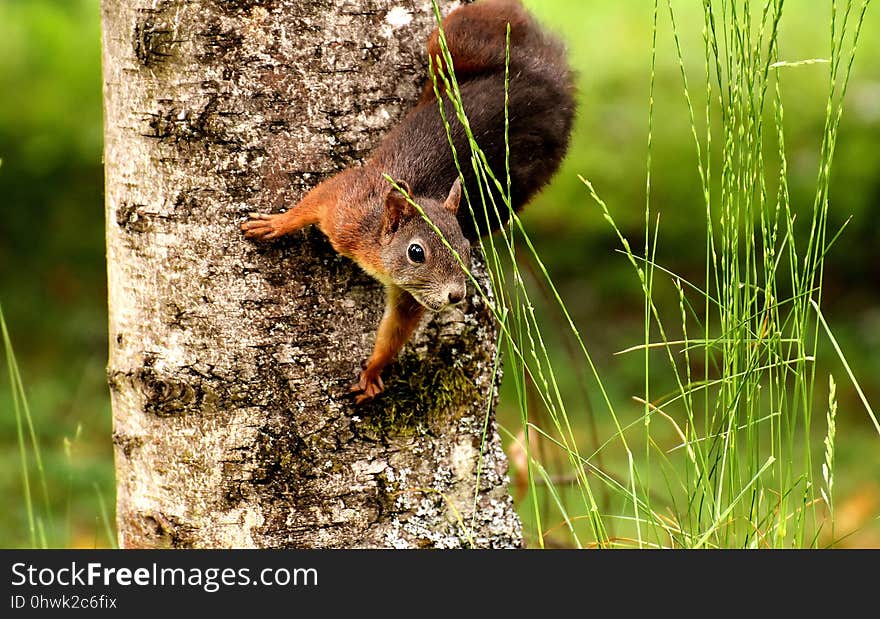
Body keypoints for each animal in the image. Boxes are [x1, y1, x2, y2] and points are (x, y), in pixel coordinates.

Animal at [242, 0, 572, 404]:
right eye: (417, 252)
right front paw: (276, 223)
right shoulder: (346, 206)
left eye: (466, 247)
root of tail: (547, 79)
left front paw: (373, 370)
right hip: (457, 39)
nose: (456, 296)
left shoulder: (410, 294)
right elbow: (316, 200)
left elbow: (396, 330)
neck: (375, 247)